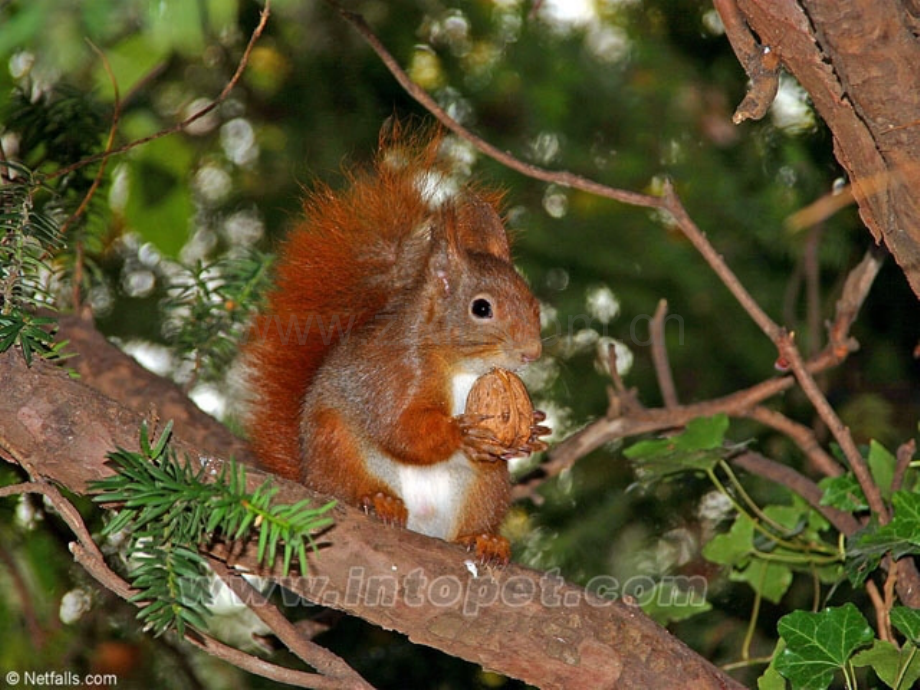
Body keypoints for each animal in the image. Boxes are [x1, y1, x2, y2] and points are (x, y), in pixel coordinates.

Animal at [243, 126, 548, 560]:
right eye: (482, 308)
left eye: (533, 302)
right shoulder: (396, 373)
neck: (461, 366)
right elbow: (399, 429)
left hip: (485, 487)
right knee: (348, 484)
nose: (531, 353)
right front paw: (461, 434)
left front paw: (534, 428)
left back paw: (484, 539)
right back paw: (378, 499)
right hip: (336, 446)